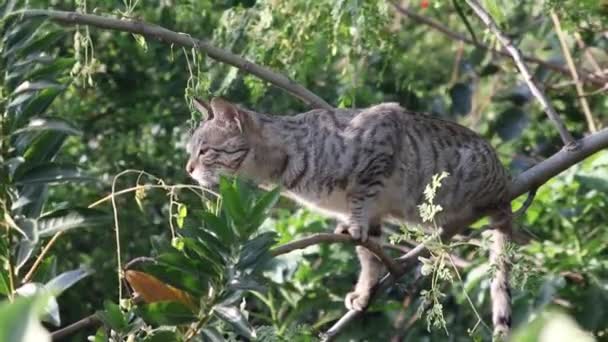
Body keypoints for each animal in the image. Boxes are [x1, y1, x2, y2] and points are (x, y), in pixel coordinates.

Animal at [185, 97, 512, 336]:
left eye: (204, 151)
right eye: (191, 151)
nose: (188, 168)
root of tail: (504, 179)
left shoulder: (381, 136)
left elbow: (360, 203)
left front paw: (354, 226)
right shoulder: (374, 215)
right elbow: (369, 256)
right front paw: (363, 291)